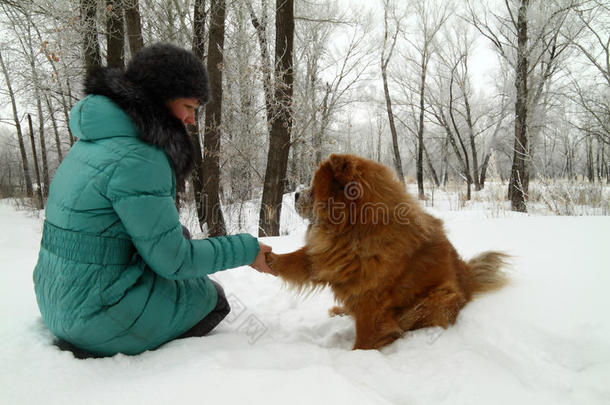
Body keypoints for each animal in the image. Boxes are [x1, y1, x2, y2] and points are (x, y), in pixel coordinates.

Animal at [264, 153, 506, 348]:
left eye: (313, 190)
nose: (296, 194)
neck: (353, 233)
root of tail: (468, 279)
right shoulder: (327, 257)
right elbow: (295, 259)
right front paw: (267, 257)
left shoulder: (371, 299)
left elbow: (365, 336)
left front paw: (358, 355)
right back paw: (339, 311)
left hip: (437, 299)